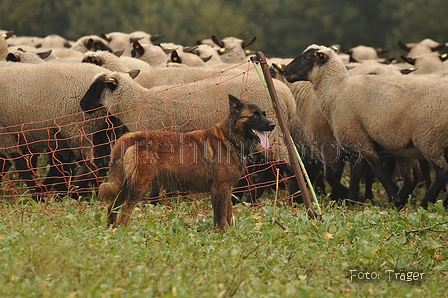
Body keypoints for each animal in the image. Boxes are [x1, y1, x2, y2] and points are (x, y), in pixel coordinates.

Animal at [100, 94, 276, 229]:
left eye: (264, 114)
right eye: (254, 116)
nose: (273, 125)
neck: (230, 138)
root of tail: (130, 136)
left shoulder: (227, 188)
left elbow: (228, 212)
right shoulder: (220, 188)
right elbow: (222, 215)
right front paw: (225, 231)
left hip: (125, 184)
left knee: (112, 206)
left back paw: (111, 229)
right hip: (138, 185)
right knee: (125, 209)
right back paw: (122, 230)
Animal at [286, 44, 448, 208]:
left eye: (307, 57)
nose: (285, 71)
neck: (337, 91)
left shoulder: (356, 138)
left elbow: (377, 171)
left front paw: (393, 200)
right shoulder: (360, 140)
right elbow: (358, 173)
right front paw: (351, 199)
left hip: (429, 139)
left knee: (442, 172)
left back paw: (425, 203)